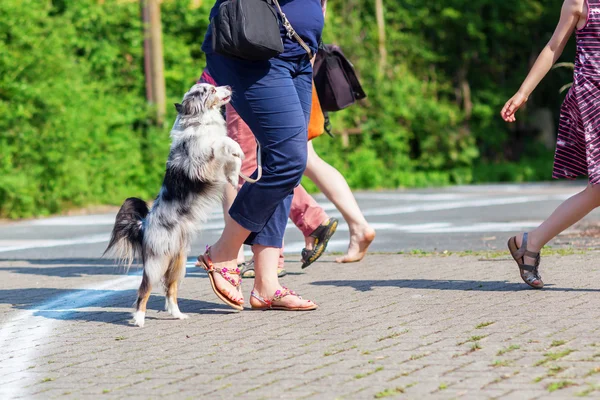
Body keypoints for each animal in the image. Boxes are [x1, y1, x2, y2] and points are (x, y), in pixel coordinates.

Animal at [103, 83, 244, 326]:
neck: (200, 121)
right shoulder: (201, 161)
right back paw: (139, 319)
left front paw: (235, 175)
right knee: (144, 290)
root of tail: (143, 226)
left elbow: (230, 158)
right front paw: (236, 149)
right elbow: (221, 142)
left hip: (178, 263)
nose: (227, 85)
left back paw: (177, 314)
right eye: (210, 90)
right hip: (156, 263)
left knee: (170, 290)